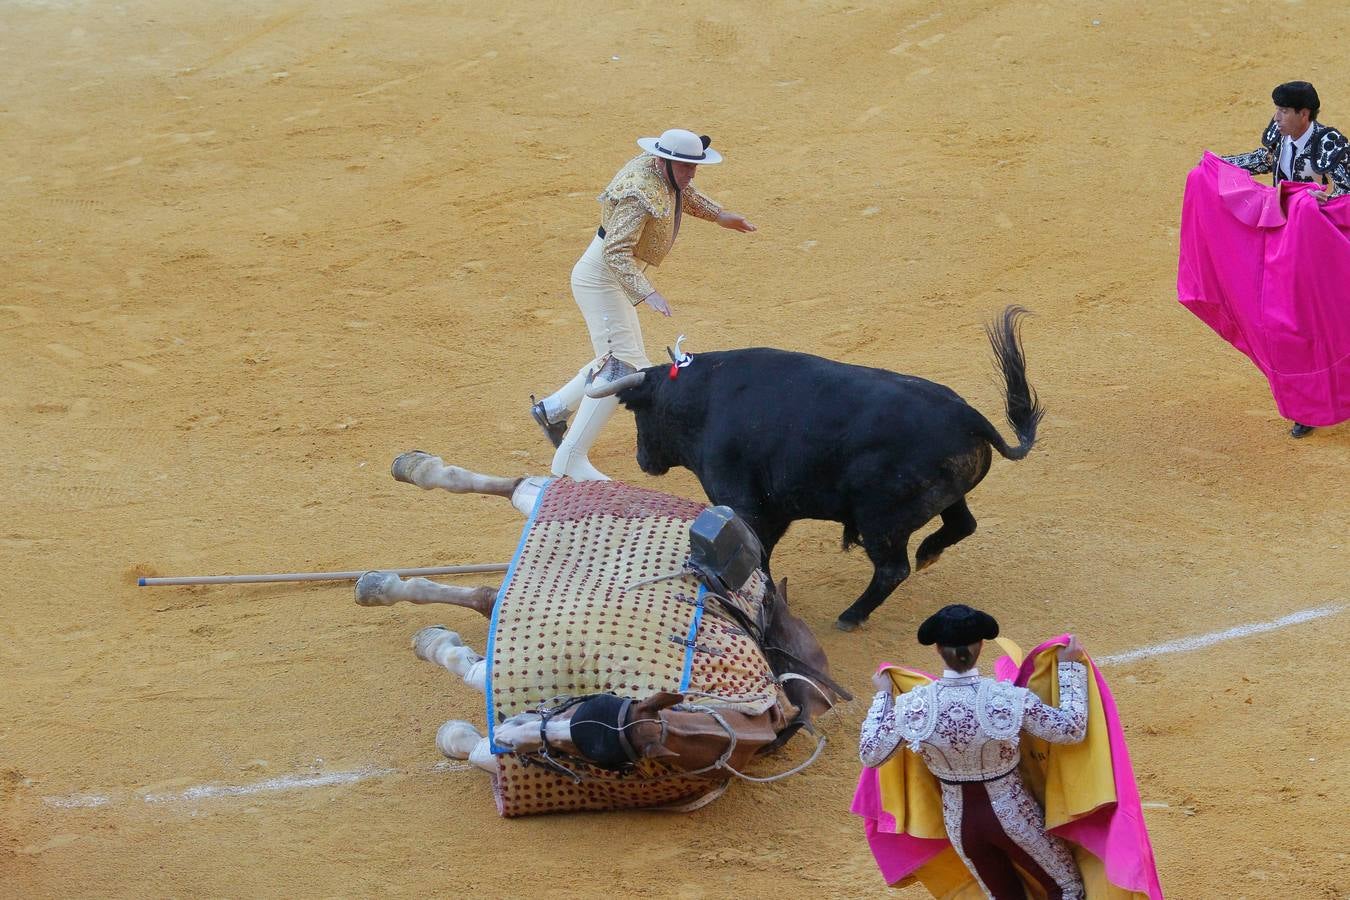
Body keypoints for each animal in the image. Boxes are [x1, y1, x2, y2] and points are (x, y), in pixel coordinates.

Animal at [353, 453, 847, 814]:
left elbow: (479, 724)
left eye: (602, 752)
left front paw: (454, 728)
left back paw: (386, 586)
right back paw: (411, 480)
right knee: (520, 491)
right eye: (593, 715)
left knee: (491, 581)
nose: (510, 733)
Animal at [591, 306, 1042, 631]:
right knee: (962, 524)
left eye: (637, 411)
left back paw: (851, 616)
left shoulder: (745, 506)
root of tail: (969, 416)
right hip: (943, 496)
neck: (701, 401)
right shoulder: (772, 511)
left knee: (892, 568)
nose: (643, 460)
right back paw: (928, 553)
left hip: (880, 519)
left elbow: (758, 555)